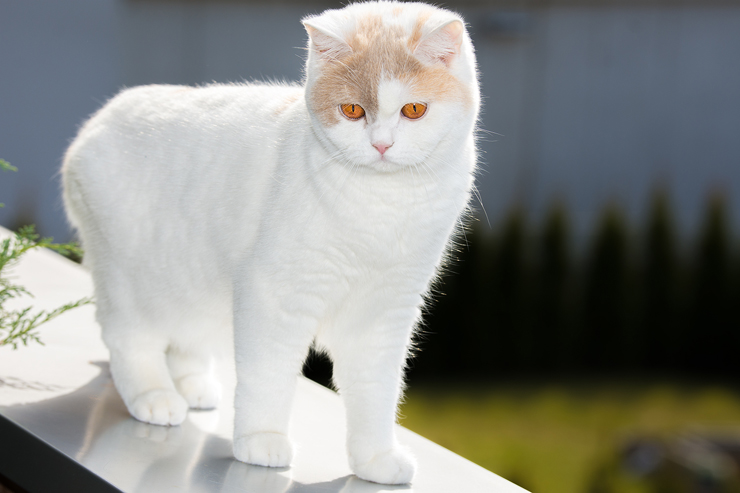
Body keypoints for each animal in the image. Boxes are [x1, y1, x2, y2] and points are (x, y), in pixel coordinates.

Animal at [62, 0, 480, 484]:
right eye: (352, 110)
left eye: (414, 109)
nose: (381, 145)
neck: (384, 204)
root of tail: (98, 120)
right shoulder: (275, 298)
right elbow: (269, 377)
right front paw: (261, 440)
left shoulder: (383, 314)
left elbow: (376, 392)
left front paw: (375, 458)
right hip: (129, 282)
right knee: (131, 342)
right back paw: (155, 397)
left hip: (196, 290)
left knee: (185, 341)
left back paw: (194, 386)